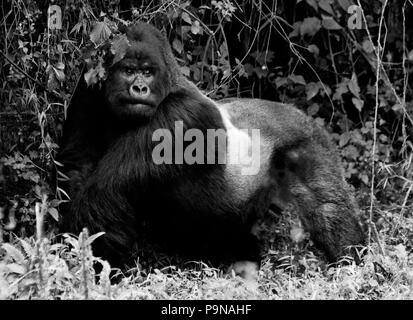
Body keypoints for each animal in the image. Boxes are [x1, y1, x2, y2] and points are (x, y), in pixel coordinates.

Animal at [58, 22, 364, 272]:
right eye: (128, 71)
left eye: (147, 72)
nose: (139, 89)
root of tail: (302, 115)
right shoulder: (90, 87)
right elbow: (77, 164)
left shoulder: (180, 116)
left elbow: (103, 194)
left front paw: (96, 270)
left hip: (309, 142)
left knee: (328, 209)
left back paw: (350, 261)